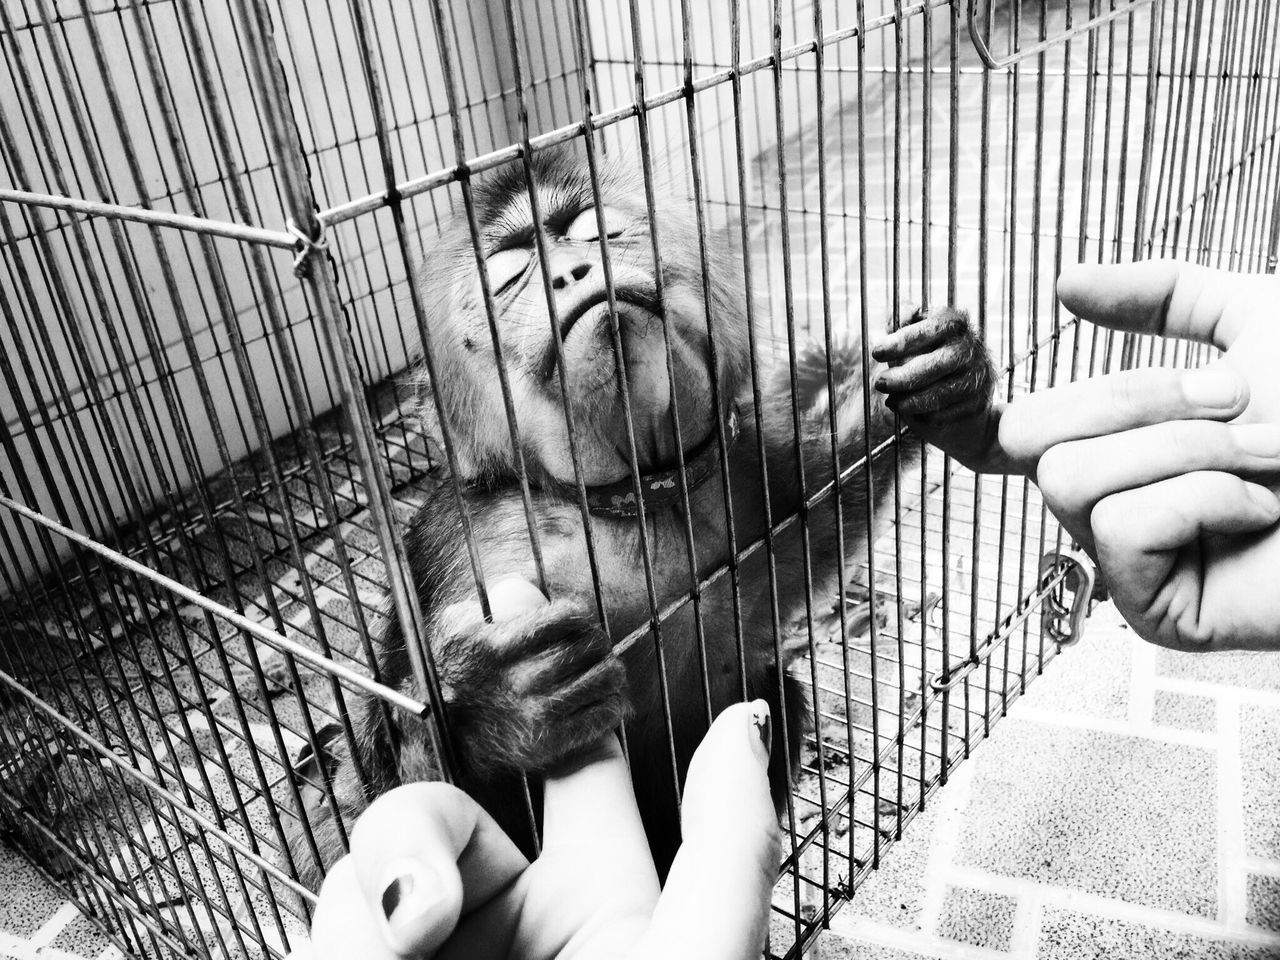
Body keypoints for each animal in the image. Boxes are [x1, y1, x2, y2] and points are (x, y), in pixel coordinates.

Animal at [0, 0, 1274, 957]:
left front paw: (932, 382)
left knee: (775, 690)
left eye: (590, 233)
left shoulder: (723, 473)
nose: (572, 272)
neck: (620, 498)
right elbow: (404, 772)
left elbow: (785, 549)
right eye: (514, 274)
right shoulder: (461, 543)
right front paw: (491, 706)